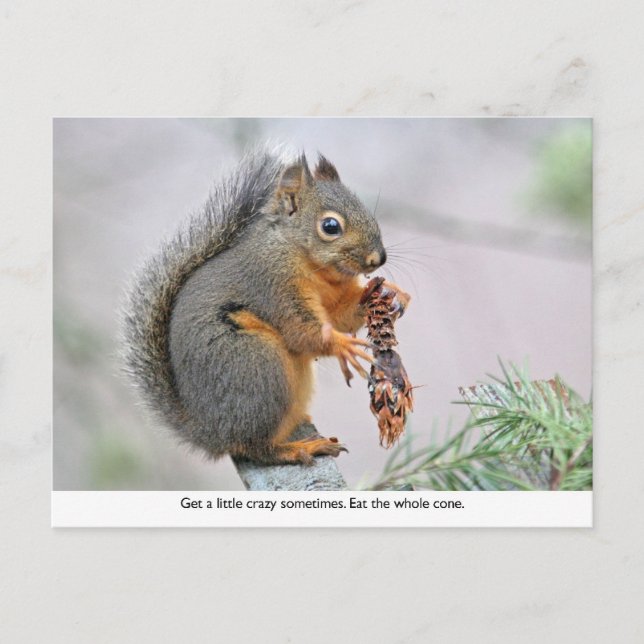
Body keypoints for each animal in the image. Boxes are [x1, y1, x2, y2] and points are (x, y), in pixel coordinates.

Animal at [122, 147, 410, 466]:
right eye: (330, 226)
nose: (378, 258)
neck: (304, 257)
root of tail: (211, 432)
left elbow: (340, 317)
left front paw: (386, 293)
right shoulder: (273, 283)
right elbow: (301, 331)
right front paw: (343, 346)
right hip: (258, 364)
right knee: (255, 448)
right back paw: (300, 449)